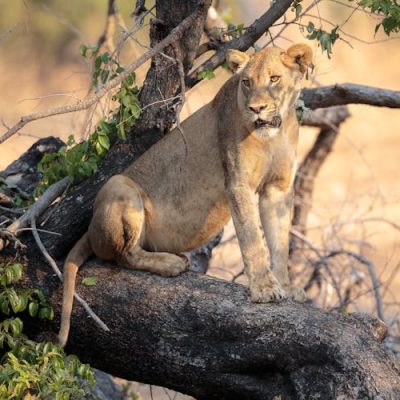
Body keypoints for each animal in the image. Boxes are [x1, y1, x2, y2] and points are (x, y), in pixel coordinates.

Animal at [57, 42, 314, 346]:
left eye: (274, 79)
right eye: (247, 82)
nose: (256, 109)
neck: (275, 133)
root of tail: (89, 230)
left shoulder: (278, 188)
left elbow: (279, 243)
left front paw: (286, 287)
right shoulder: (237, 182)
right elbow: (252, 240)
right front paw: (264, 289)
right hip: (119, 185)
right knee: (123, 255)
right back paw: (171, 264)